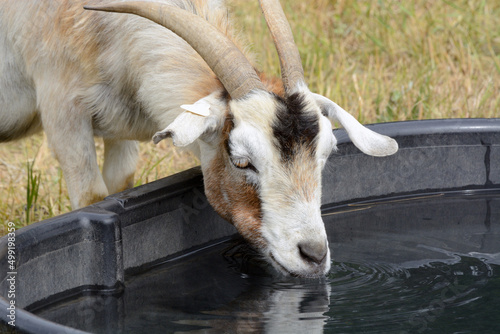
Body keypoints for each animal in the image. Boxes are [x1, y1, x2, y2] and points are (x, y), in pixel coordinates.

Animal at [0, 0, 398, 276]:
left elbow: (119, 184)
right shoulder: (63, 114)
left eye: (325, 154)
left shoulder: (121, 127)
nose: (313, 256)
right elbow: (92, 197)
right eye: (241, 160)